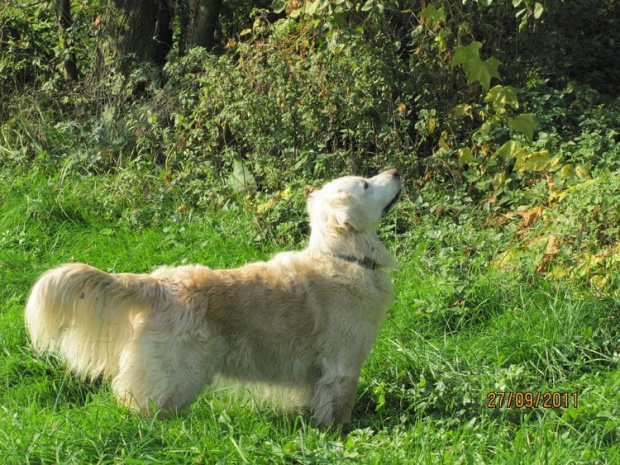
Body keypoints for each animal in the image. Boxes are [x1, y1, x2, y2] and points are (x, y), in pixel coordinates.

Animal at [24, 169, 402, 426]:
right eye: (366, 184)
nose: (396, 171)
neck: (344, 257)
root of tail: (157, 282)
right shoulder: (342, 367)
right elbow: (337, 410)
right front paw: (336, 433)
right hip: (177, 375)